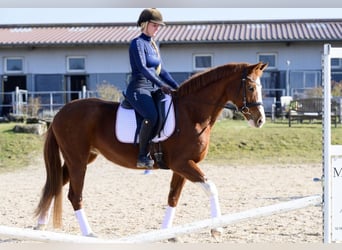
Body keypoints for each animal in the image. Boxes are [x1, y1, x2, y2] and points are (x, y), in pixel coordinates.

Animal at [35, 61, 270, 239]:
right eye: (251, 88)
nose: (260, 120)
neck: (192, 113)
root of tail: (61, 112)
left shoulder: (182, 167)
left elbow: (173, 197)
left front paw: (167, 233)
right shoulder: (183, 164)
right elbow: (211, 188)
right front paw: (217, 229)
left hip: (83, 159)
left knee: (55, 183)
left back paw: (40, 225)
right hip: (78, 161)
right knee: (74, 196)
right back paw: (88, 234)